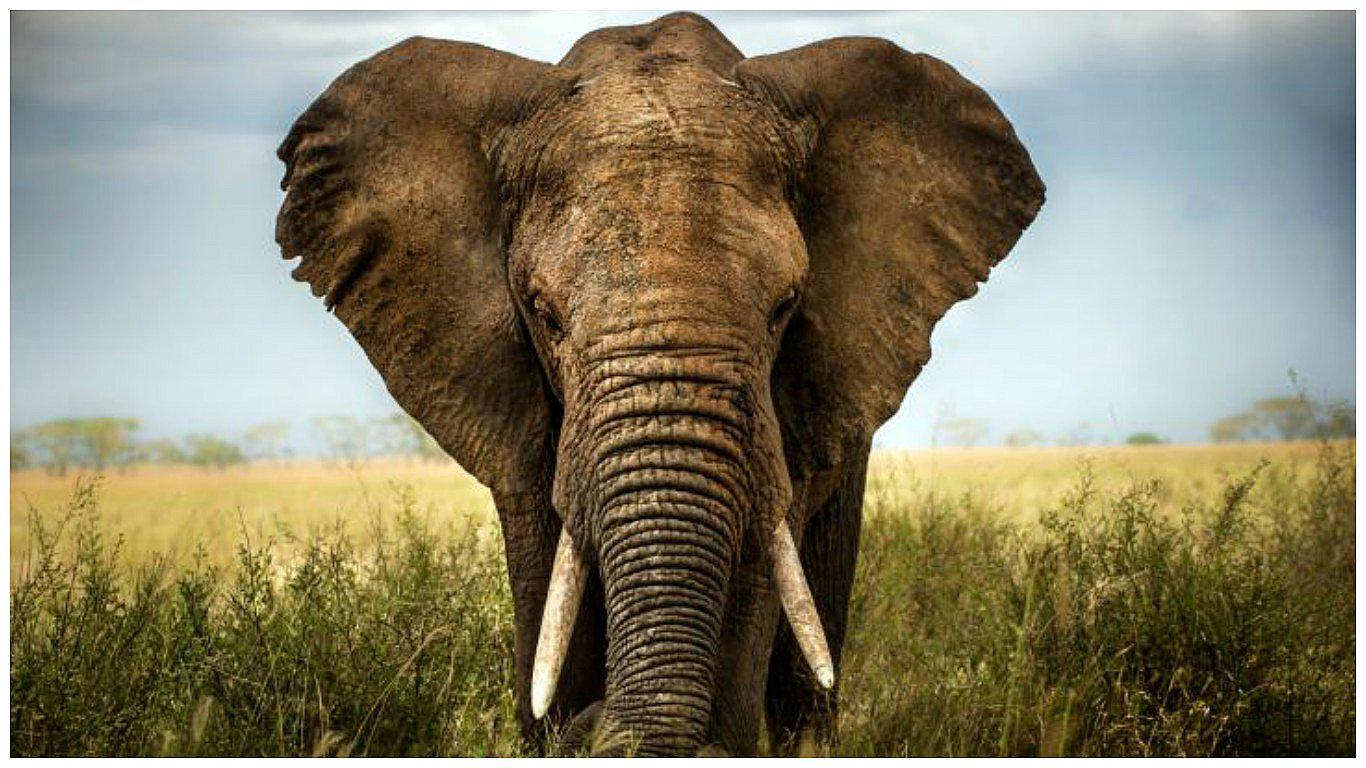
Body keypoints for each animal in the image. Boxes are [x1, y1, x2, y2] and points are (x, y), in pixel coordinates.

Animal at [275, 11, 1043, 757]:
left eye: (785, 307)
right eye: (544, 314)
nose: (597, 723)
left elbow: (757, 575)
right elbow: (545, 580)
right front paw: (557, 723)